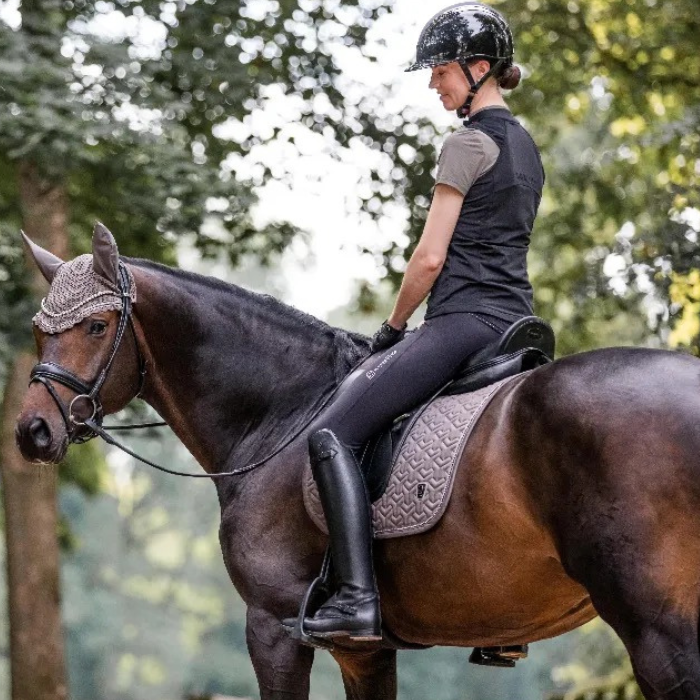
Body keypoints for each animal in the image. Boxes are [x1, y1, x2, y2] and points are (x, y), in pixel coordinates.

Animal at [15, 226, 700, 700]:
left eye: (97, 326)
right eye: (39, 331)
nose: (32, 432)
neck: (284, 411)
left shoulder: (273, 628)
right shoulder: (365, 653)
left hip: (658, 631)